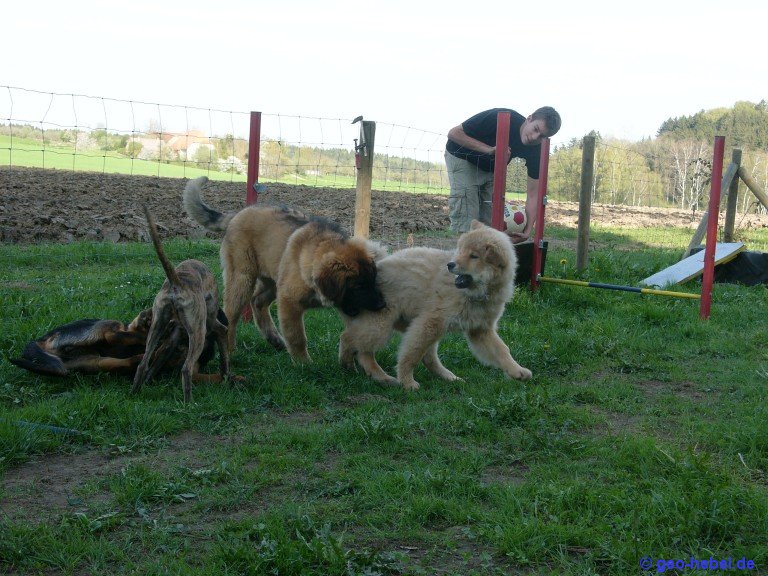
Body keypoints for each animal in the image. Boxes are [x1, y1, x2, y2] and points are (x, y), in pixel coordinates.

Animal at [132, 205, 231, 402]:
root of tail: (176, 282)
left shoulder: (171, 339)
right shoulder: (213, 325)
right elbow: (223, 342)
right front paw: (225, 375)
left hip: (157, 327)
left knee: (143, 364)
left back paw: (134, 393)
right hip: (198, 334)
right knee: (186, 369)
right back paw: (189, 403)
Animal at [183, 176, 386, 362]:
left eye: (373, 281)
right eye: (358, 286)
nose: (382, 305)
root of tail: (237, 214)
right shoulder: (289, 301)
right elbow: (297, 337)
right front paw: (304, 364)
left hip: (273, 279)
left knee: (257, 301)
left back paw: (274, 339)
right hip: (242, 277)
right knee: (231, 315)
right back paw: (231, 350)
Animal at [339, 220, 532, 390]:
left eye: (474, 256)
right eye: (460, 250)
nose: (450, 264)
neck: (476, 294)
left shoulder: (481, 329)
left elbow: (502, 350)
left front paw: (517, 371)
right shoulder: (429, 321)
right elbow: (411, 354)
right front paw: (407, 381)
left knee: (424, 357)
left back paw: (447, 377)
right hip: (381, 325)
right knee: (351, 340)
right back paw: (358, 368)